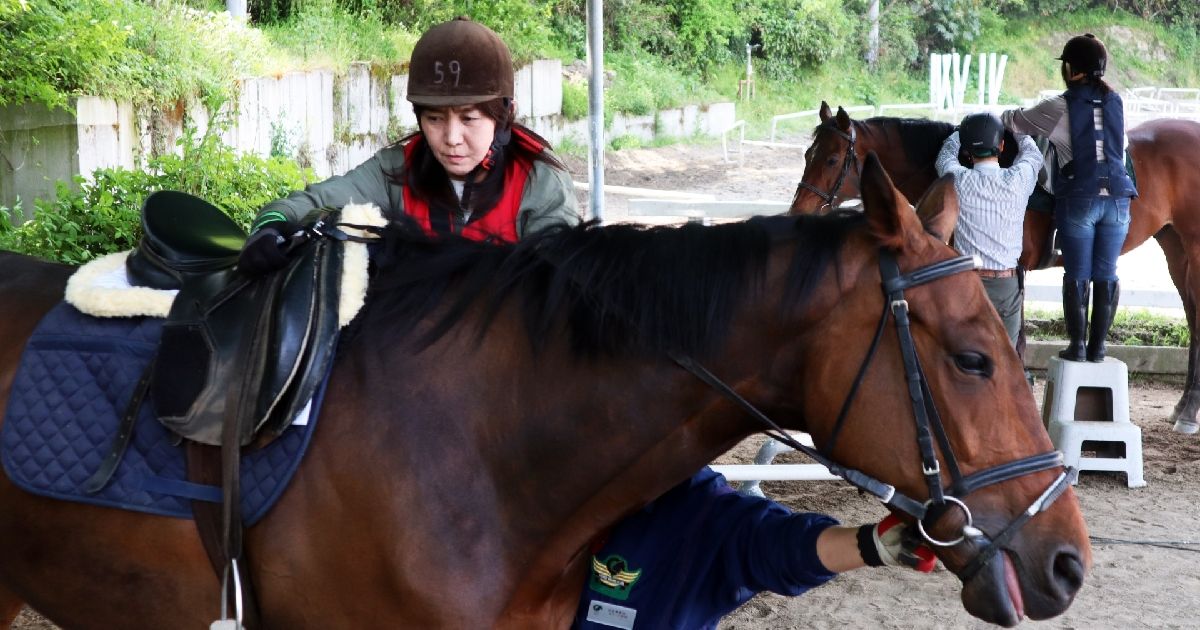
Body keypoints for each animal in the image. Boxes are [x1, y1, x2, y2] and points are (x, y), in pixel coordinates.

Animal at [796, 102, 1200, 436]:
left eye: (832, 160)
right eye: (807, 153)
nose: (799, 210)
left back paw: (1189, 413)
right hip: (1174, 248)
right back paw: (1182, 408)